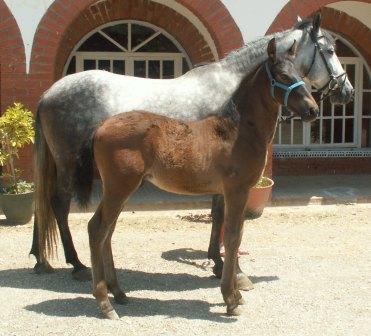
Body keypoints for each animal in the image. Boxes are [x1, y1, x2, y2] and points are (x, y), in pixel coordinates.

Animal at [32, 13, 354, 280]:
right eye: (329, 50)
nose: (347, 91)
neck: (234, 91)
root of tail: (49, 93)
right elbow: (221, 214)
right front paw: (227, 266)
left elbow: (216, 213)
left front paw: (217, 261)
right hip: (67, 163)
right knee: (59, 204)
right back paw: (76, 264)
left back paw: (40, 258)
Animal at [88, 38, 320, 318]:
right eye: (284, 76)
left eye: (302, 75)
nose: (313, 110)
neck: (238, 130)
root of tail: (101, 127)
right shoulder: (237, 190)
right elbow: (232, 237)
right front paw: (231, 298)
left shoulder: (230, 192)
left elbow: (233, 236)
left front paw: (235, 292)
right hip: (119, 187)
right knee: (98, 229)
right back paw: (104, 302)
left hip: (121, 189)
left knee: (107, 231)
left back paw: (119, 293)